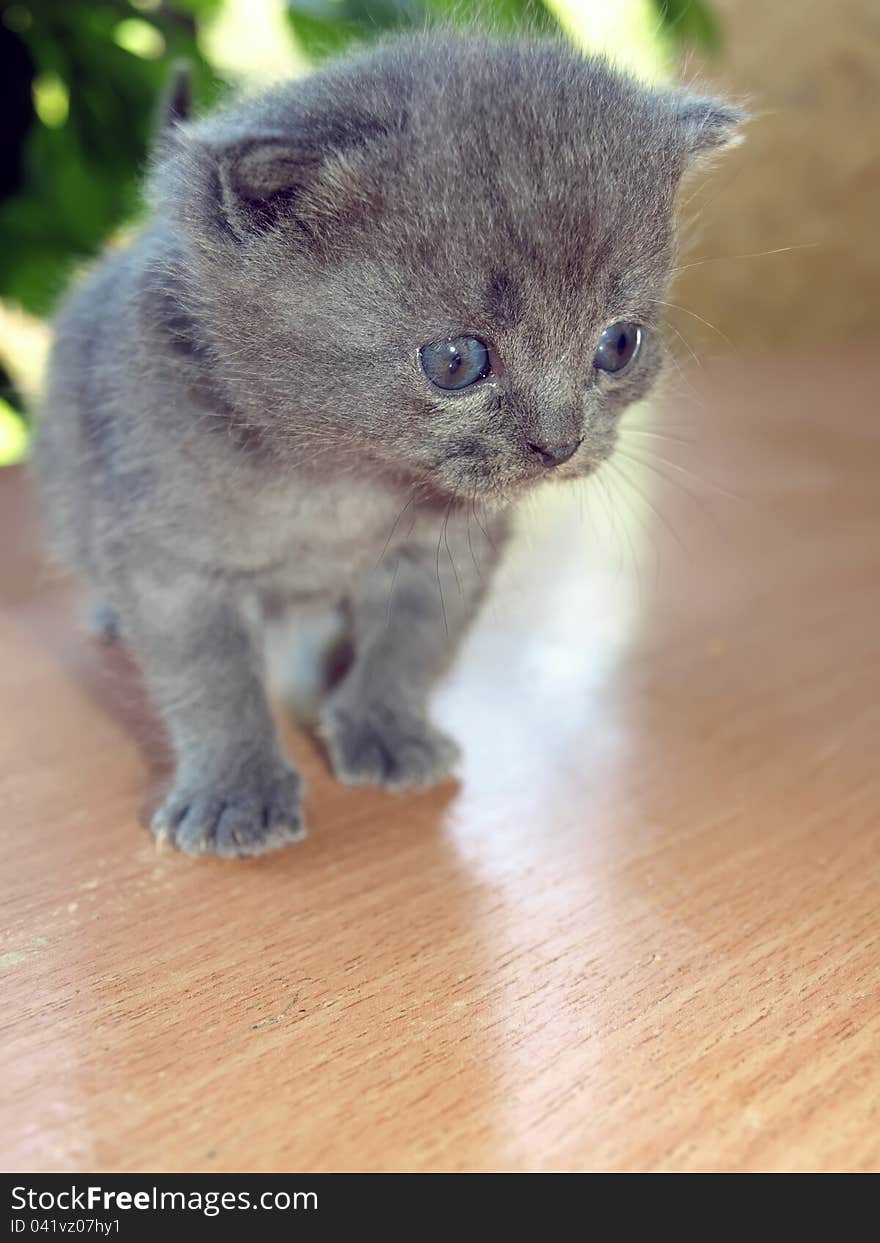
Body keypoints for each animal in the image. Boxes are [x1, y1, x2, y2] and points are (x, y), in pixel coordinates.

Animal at [32, 36, 740, 855]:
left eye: (619, 345)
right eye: (456, 361)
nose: (560, 444)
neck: (341, 480)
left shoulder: (447, 551)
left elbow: (411, 645)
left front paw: (387, 731)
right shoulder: (169, 558)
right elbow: (211, 679)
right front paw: (236, 792)